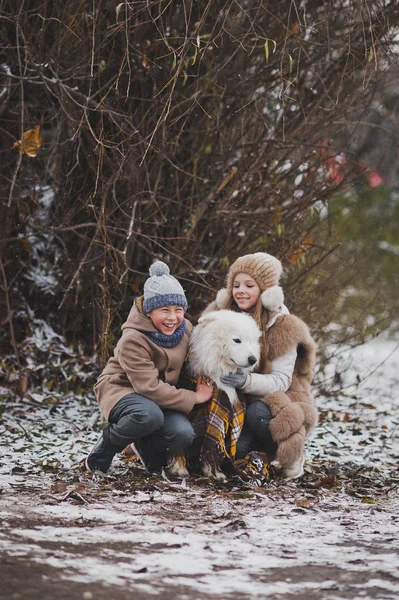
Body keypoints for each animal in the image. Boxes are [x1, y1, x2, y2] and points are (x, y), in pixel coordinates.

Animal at [168, 310, 262, 478]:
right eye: (237, 340)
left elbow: (213, 447)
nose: (253, 359)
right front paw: (179, 469)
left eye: (251, 341)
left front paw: (213, 472)